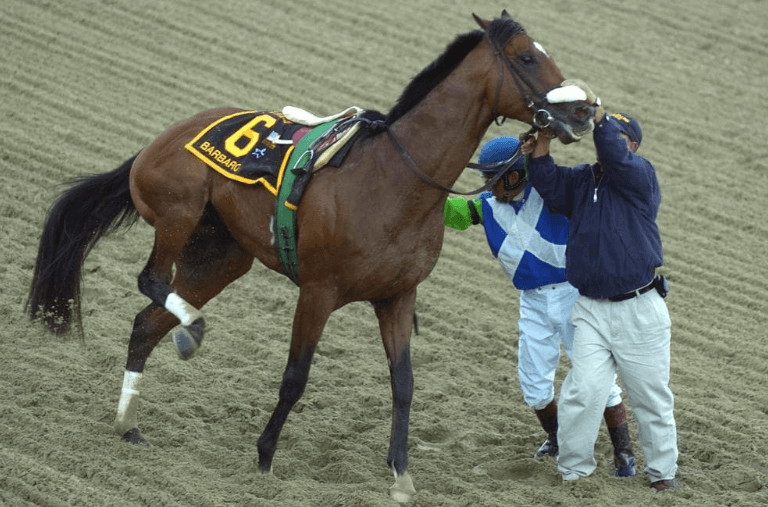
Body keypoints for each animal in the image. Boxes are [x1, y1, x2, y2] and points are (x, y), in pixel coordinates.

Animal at [27, 11, 596, 502]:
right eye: (527, 58)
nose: (585, 110)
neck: (395, 180)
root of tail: (160, 140)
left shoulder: (397, 296)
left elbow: (404, 383)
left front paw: (400, 474)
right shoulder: (319, 291)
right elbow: (295, 377)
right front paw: (264, 458)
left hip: (221, 258)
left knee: (146, 322)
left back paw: (129, 421)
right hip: (177, 212)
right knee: (150, 280)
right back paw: (192, 332)